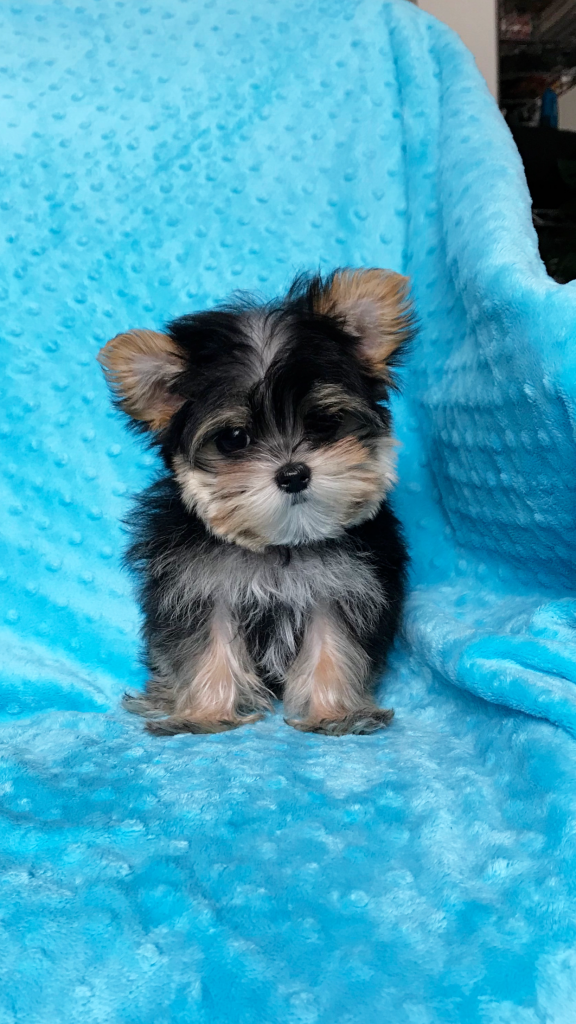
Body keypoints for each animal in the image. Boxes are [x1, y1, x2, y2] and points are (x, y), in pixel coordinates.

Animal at [99, 268, 412, 737]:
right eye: (234, 438)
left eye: (324, 422)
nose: (293, 474)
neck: (280, 545)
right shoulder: (199, 587)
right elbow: (207, 645)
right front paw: (205, 715)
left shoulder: (341, 587)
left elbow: (332, 643)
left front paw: (333, 713)